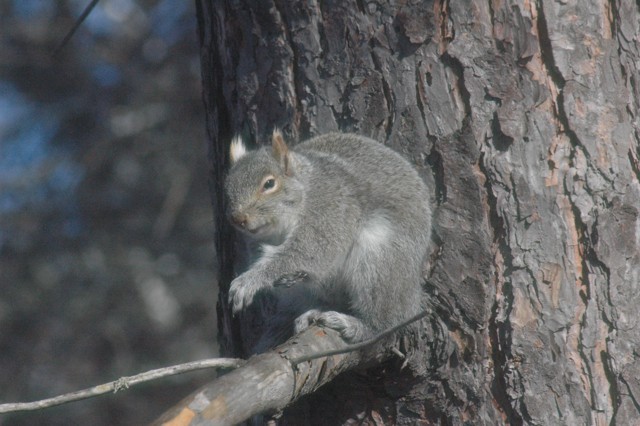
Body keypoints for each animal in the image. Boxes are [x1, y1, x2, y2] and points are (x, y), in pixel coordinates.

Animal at [225, 130, 431, 343]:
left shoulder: (327, 212)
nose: (238, 218)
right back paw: (315, 312)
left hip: (379, 261)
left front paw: (250, 280)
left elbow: (306, 252)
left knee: (383, 323)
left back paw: (356, 326)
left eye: (269, 183)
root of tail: (412, 293)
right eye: (227, 187)